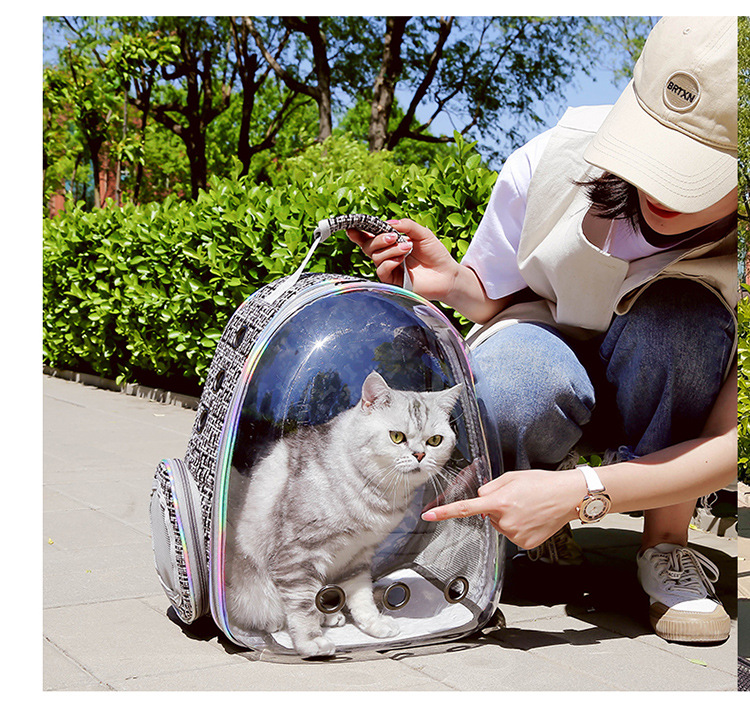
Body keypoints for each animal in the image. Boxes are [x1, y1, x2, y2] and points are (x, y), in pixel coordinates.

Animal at [228, 372, 464, 660]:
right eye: (397, 437)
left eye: (435, 441)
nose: (419, 455)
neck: (378, 495)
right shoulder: (296, 555)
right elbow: (302, 606)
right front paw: (311, 642)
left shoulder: (358, 555)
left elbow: (361, 596)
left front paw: (375, 625)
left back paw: (331, 616)